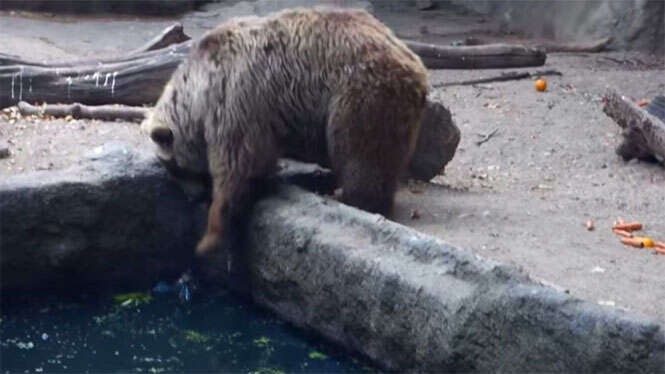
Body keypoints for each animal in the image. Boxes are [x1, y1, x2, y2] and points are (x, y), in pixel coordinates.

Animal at [143, 6, 428, 258]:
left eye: (176, 167)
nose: (193, 197)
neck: (198, 94)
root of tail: (415, 64)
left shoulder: (236, 94)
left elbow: (238, 161)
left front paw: (209, 237)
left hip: (359, 94)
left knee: (361, 154)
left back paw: (349, 196)